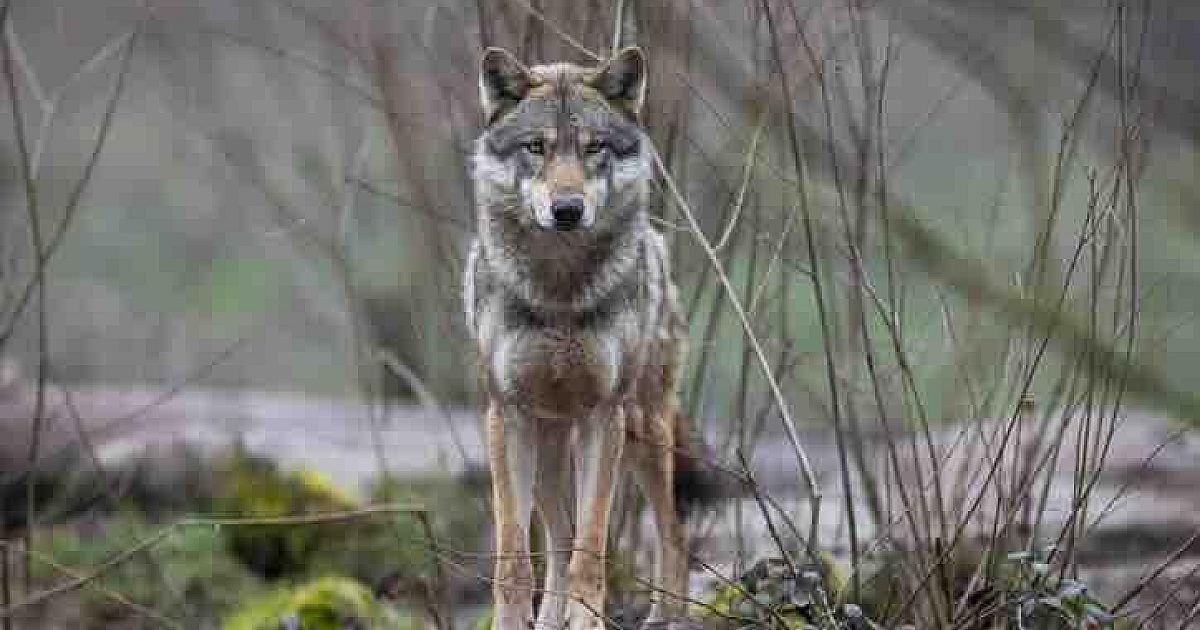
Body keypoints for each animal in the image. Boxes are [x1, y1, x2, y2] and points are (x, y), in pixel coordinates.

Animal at [463, 46, 693, 630]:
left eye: (593, 148)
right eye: (536, 147)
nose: (567, 210)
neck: (559, 293)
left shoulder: (604, 419)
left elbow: (592, 547)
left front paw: (589, 619)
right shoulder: (507, 417)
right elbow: (516, 557)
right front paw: (514, 620)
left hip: (645, 431)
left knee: (672, 534)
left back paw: (668, 616)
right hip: (547, 442)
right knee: (557, 538)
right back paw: (550, 618)